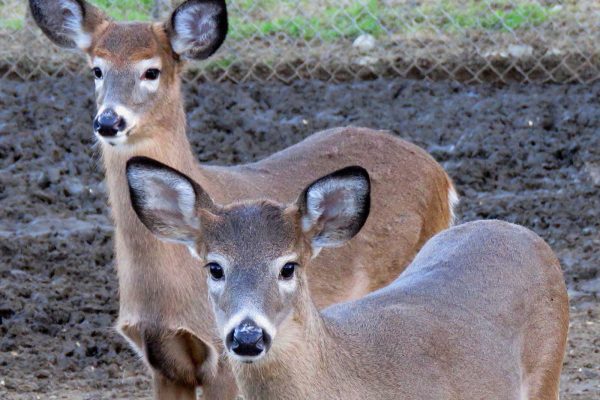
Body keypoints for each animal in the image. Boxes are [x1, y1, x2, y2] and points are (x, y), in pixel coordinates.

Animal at [30, 1, 458, 398]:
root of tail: (442, 175)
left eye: (151, 70)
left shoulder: (220, 356)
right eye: (97, 70)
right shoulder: (161, 360)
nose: (108, 121)